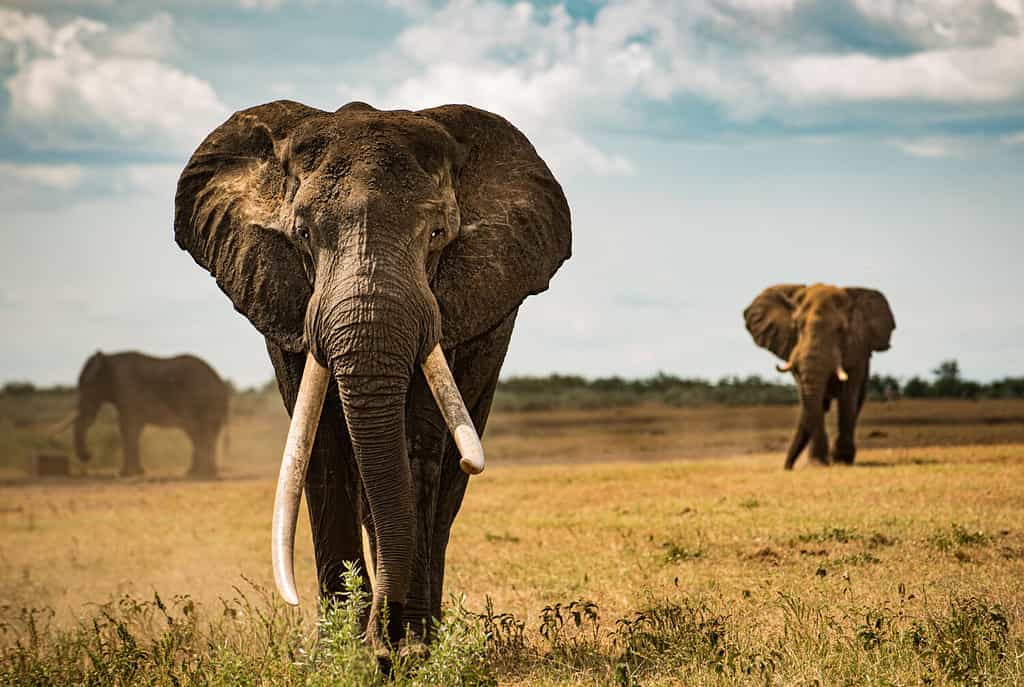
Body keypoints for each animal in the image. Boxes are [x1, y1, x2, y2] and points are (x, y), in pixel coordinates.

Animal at [72, 350, 230, 479]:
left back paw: (203, 473)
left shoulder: (127, 388)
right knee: (199, 434)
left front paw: (126, 474)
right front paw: (137, 472)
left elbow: (127, 427)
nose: (89, 456)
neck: (109, 358)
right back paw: (198, 472)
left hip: (202, 401)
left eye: (88, 387)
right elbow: (131, 428)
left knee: (200, 432)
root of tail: (221, 382)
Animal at [177, 100, 577, 655]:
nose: (383, 644)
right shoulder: (285, 304)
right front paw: (339, 652)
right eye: (303, 235)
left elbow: (417, 448)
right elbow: (321, 448)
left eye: (436, 235)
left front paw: (409, 650)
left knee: (447, 482)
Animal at [745, 284, 897, 473]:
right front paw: (818, 464)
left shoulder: (857, 350)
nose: (788, 467)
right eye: (797, 326)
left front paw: (841, 460)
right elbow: (811, 401)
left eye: (840, 330)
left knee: (856, 402)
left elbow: (847, 396)